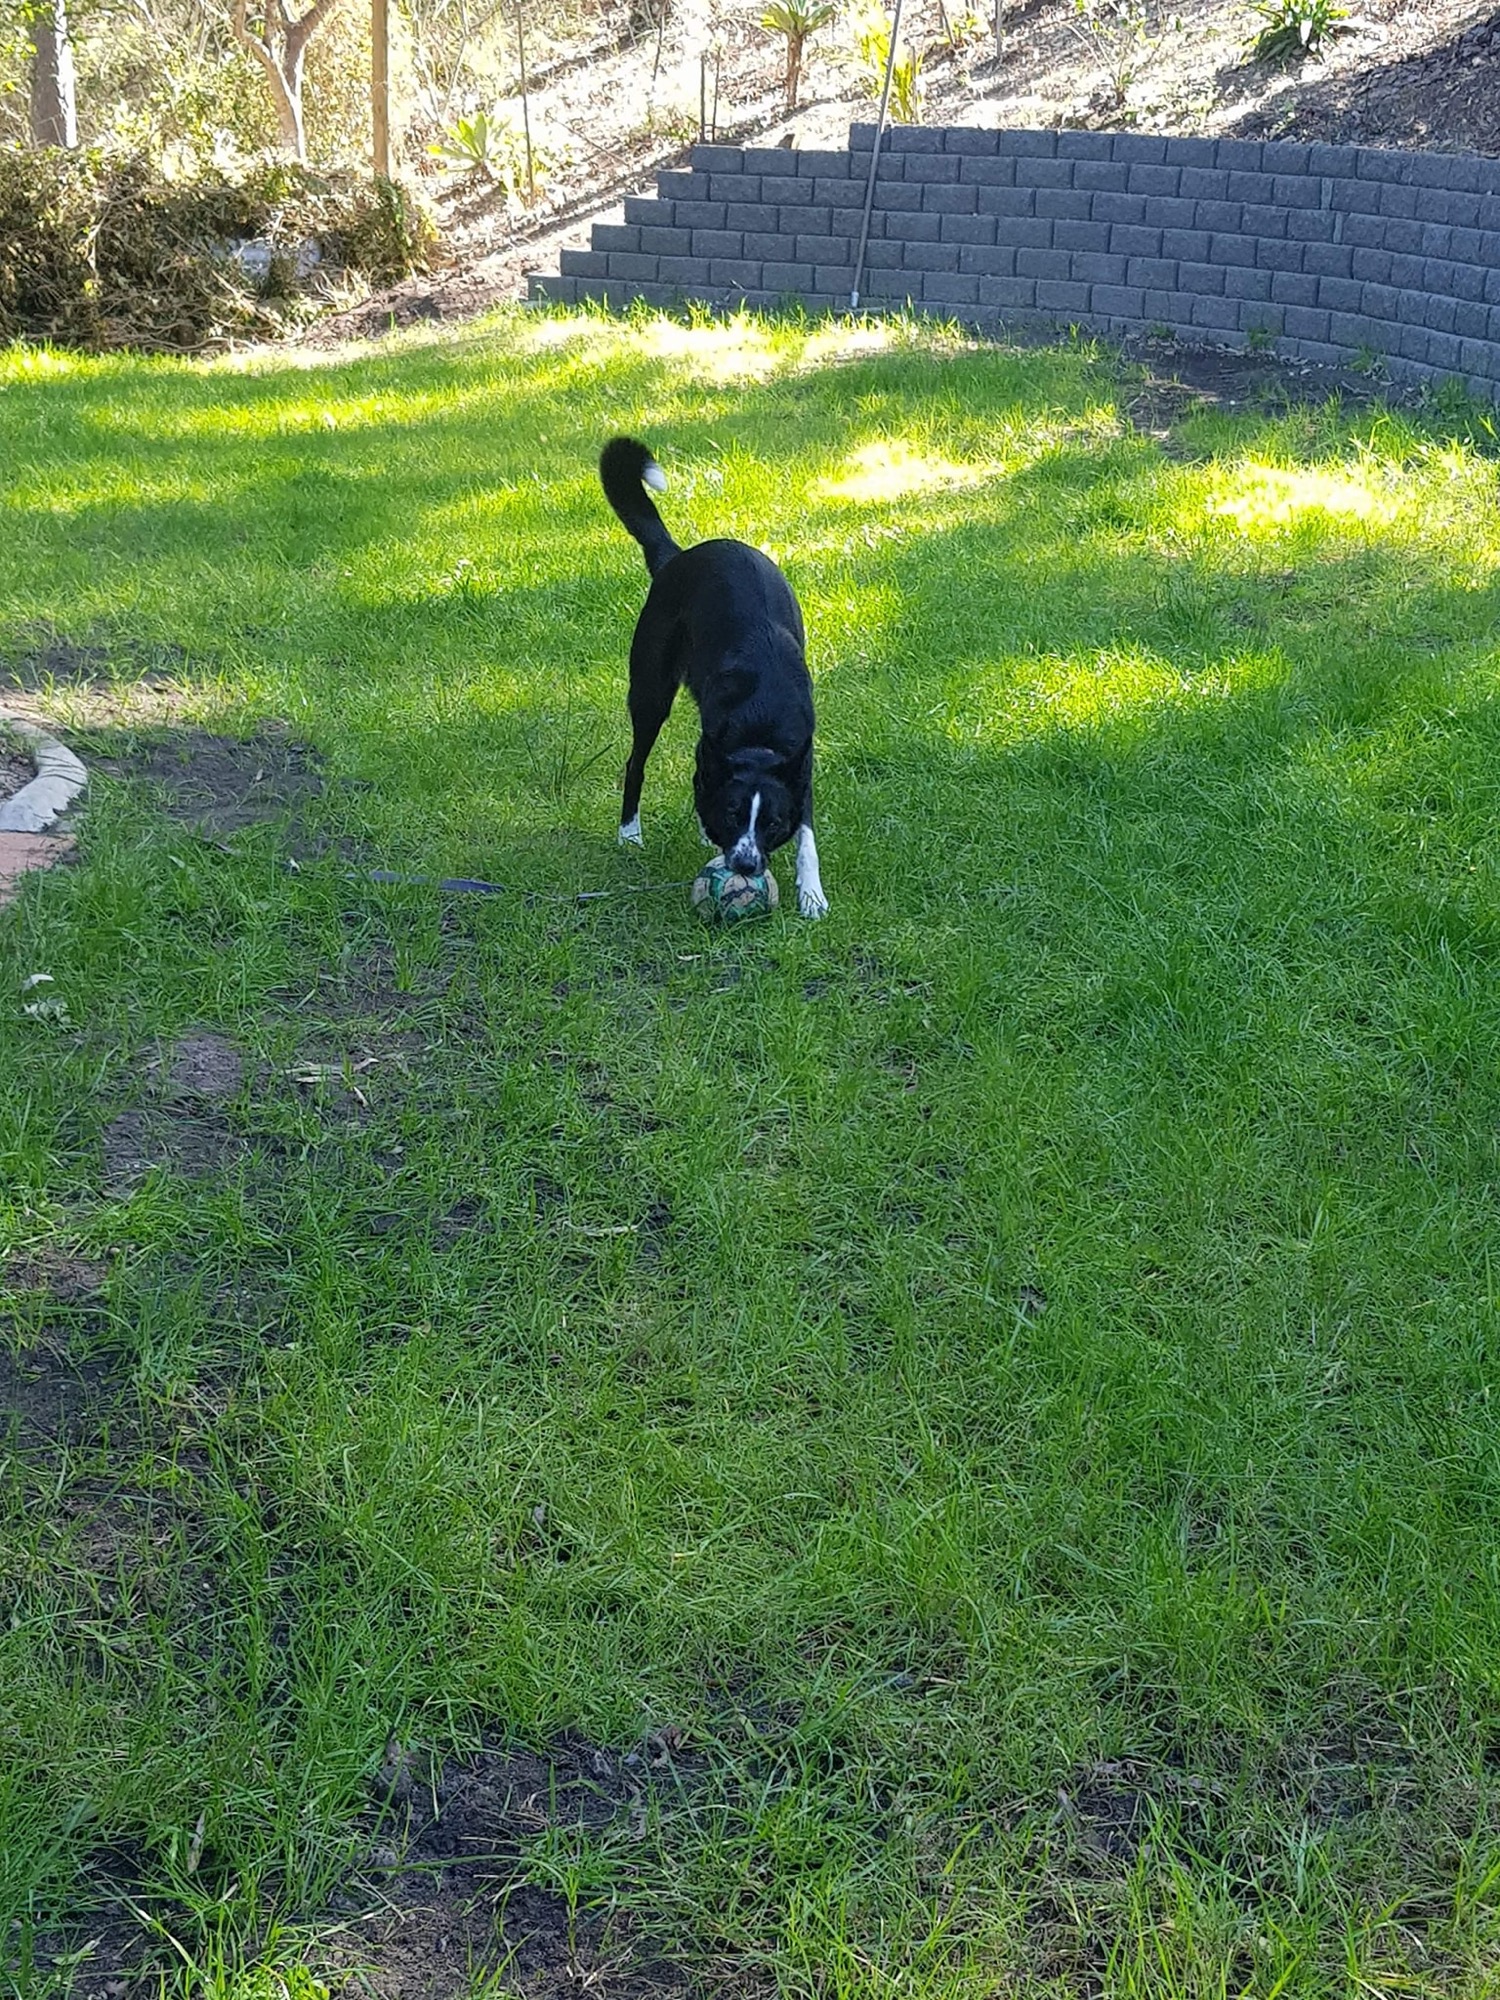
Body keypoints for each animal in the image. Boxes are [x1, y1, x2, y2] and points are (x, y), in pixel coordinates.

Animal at [599, 436, 828, 919]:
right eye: (733, 814)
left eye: (772, 823)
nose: (744, 865)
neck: (761, 731)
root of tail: (679, 557)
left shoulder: (800, 770)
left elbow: (807, 837)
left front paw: (812, 894)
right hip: (650, 692)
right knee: (636, 763)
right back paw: (630, 833)